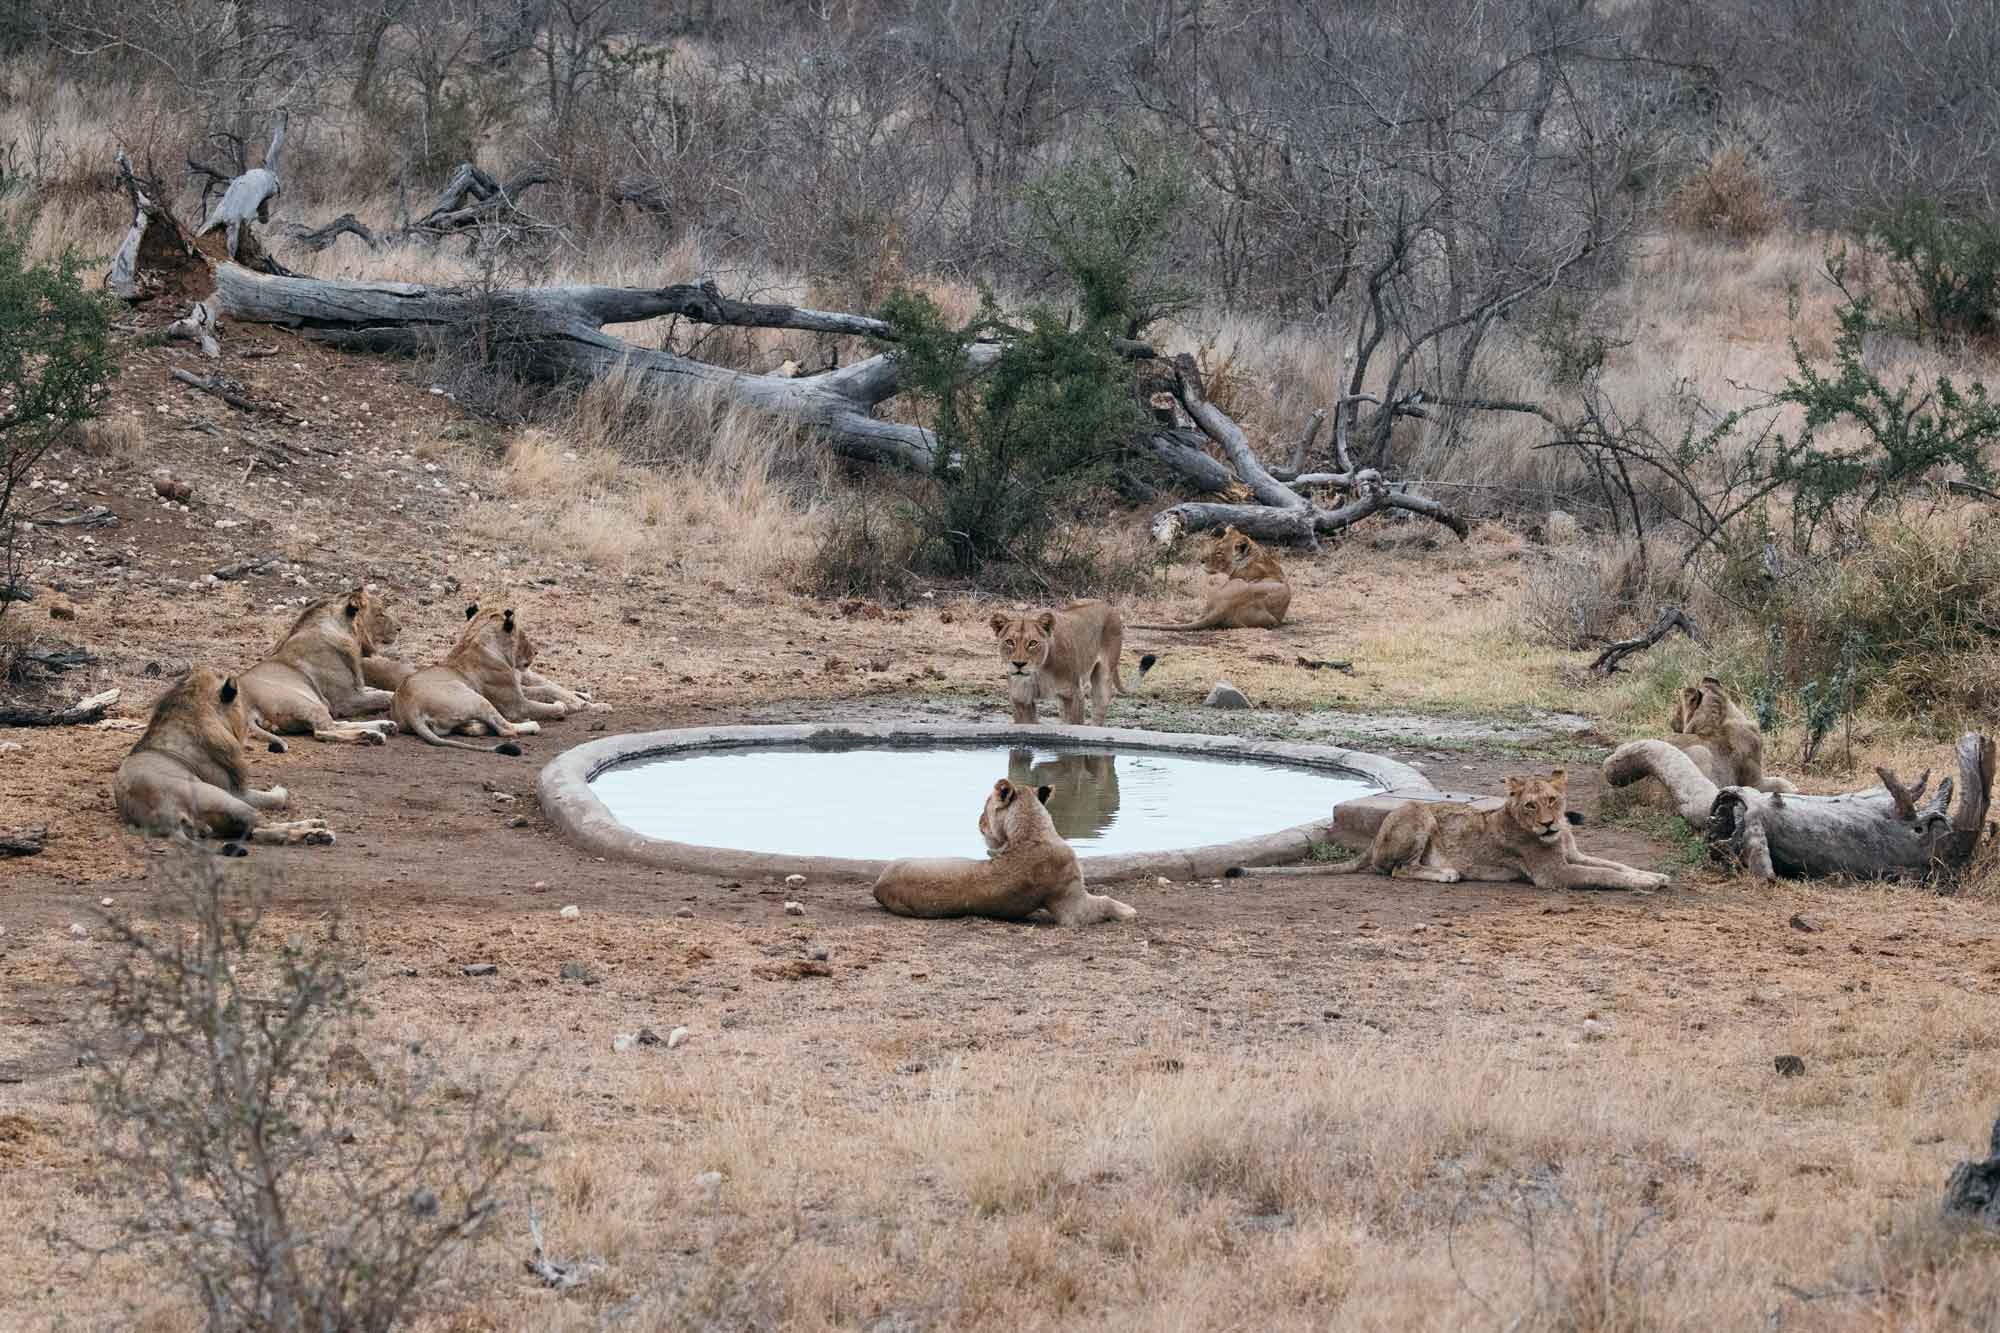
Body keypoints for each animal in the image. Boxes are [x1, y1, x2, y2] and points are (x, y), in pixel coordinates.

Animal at [114, 660, 336, 840]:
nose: (248, 721)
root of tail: (166, 817)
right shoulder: (236, 791)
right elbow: (276, 799)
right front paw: (279, 790)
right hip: (225, 799)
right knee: (264, 829)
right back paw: (317, 832)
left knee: (260, 832)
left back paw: (315, 832)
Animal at [234, 584, 402, 748]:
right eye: (381, 613)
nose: (400, 628)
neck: (347, 635)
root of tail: (247, 707)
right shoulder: (346, 700)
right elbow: (385, 697)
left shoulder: (357, 689)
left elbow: (380, 691)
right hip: (308, 703)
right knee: (323, 731)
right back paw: (372, 735)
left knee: (336, 725)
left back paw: (384, 726)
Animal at [876, 780, 1144, 924]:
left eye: (984, 806)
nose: (978, 821)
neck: (1030, 832)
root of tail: (878, 886)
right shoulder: (1072, 909)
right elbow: (1105, 901)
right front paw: (1129, 911)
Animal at [984, 600, 1144, 728]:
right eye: (1009, 642)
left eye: (1033, 643)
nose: (1019, 664)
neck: (1039, 671)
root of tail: (1106, 604)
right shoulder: (1021, 698)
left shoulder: (1074, 694)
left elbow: (1075, 724)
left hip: (1104, 678)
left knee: (1099, 712)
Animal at [1320, 764, 1664, 888]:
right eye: (1530, 805)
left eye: (1552, 799)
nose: (1548, 825)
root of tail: (1374, 839)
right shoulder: (1553, 874)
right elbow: (1605, 875)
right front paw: (1647, 883)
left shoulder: (1574, 856)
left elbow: (1615, 865)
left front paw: (1653, 875)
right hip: (1418, 810)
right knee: (1398, 870)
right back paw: (1446, 873)